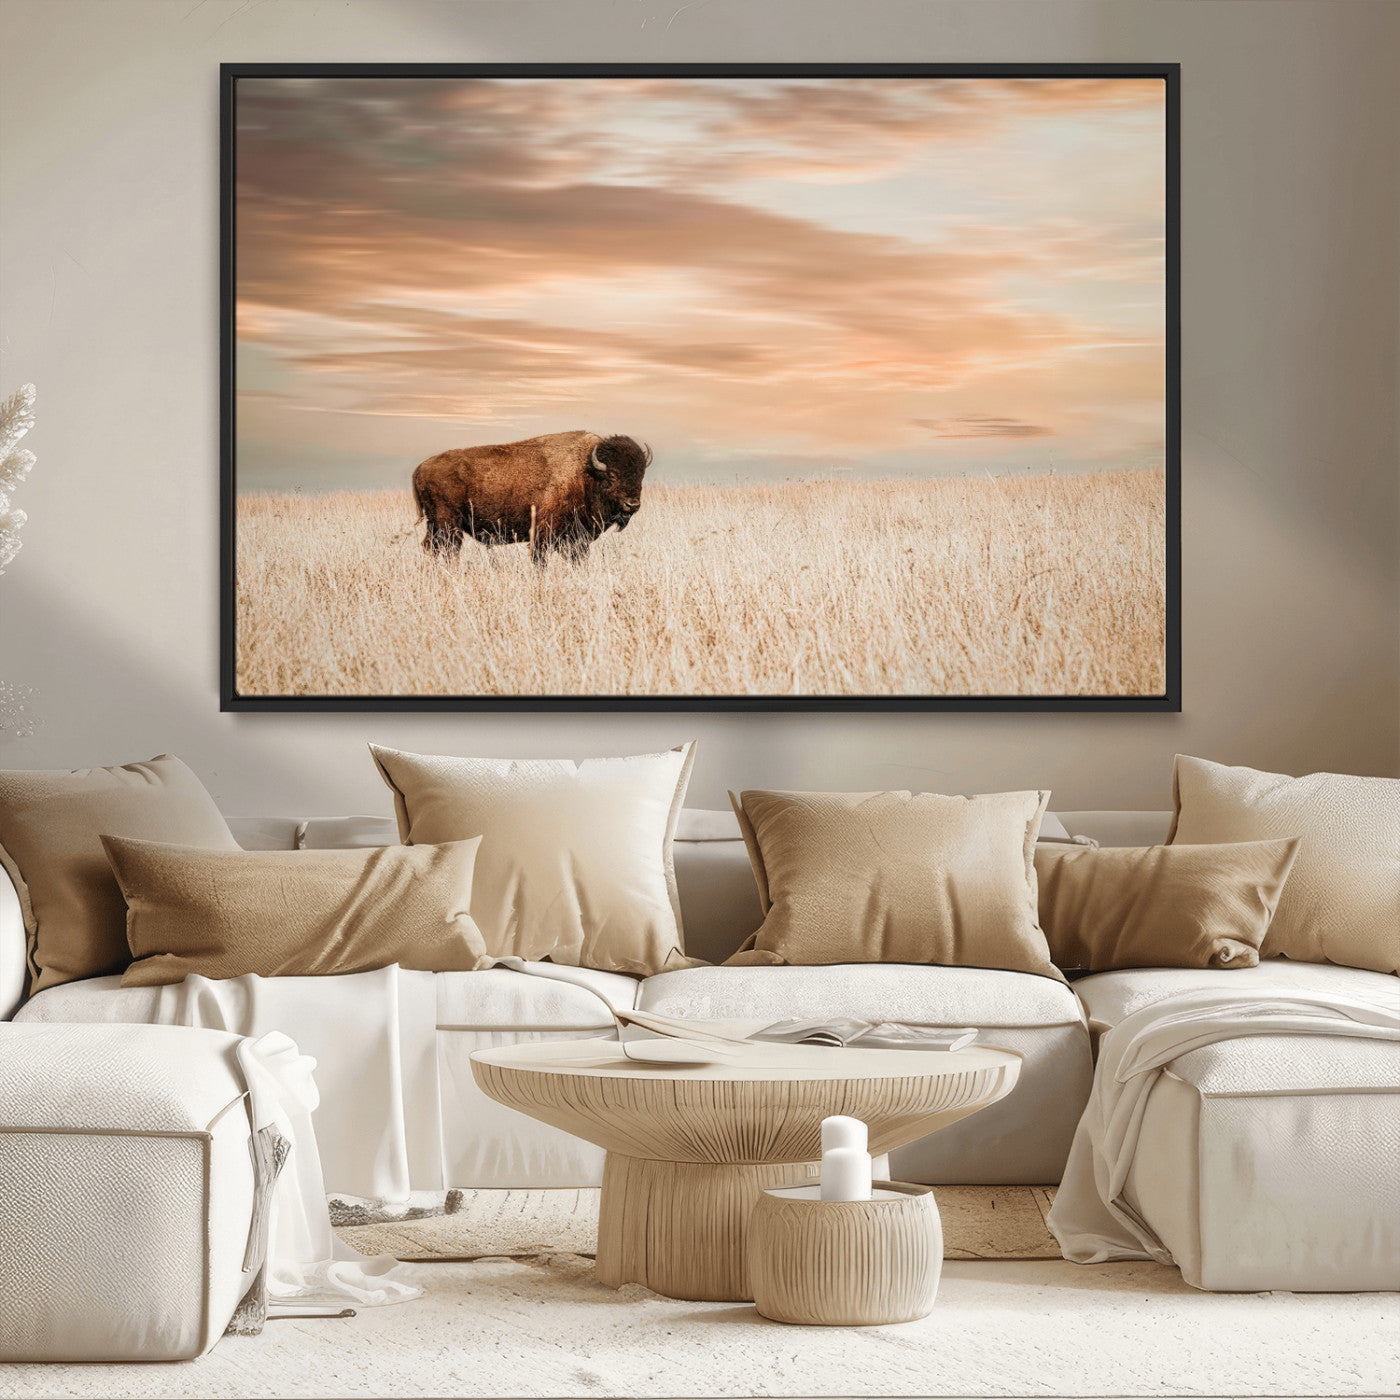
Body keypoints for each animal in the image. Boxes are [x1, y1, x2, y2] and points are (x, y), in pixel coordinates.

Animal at [413, 431, 653, 564]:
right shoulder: (543, 533)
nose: (632, 504)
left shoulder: (577, 539)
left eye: (641, 474)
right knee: (449, 549)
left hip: (435, 525)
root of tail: (421, 467)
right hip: (448, 525)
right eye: (612, 475)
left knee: (431, 548)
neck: (586, 473)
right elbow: (540, 560)